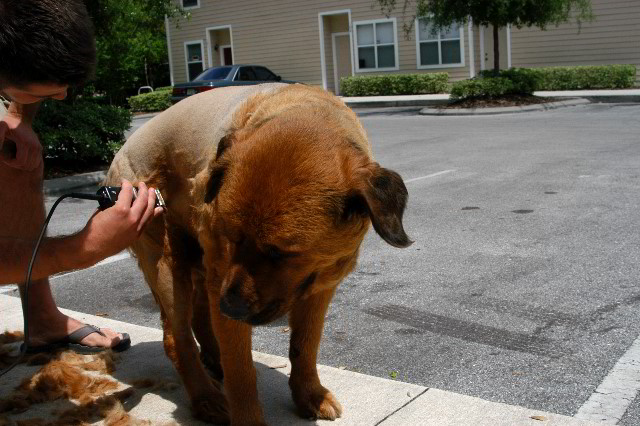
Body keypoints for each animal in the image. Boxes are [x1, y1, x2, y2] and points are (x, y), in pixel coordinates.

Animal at [105, 82, 412, 422]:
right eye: (231, 237)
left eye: (281, 254)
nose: (230, 308)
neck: (302, 108)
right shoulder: (221, 277)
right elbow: (241, 373)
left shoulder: (320, 286)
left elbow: (304, 345)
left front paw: (310, 394)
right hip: (169, 265)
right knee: (178, 338)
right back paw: (205, 397)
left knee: (200, 316)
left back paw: (213, 360)